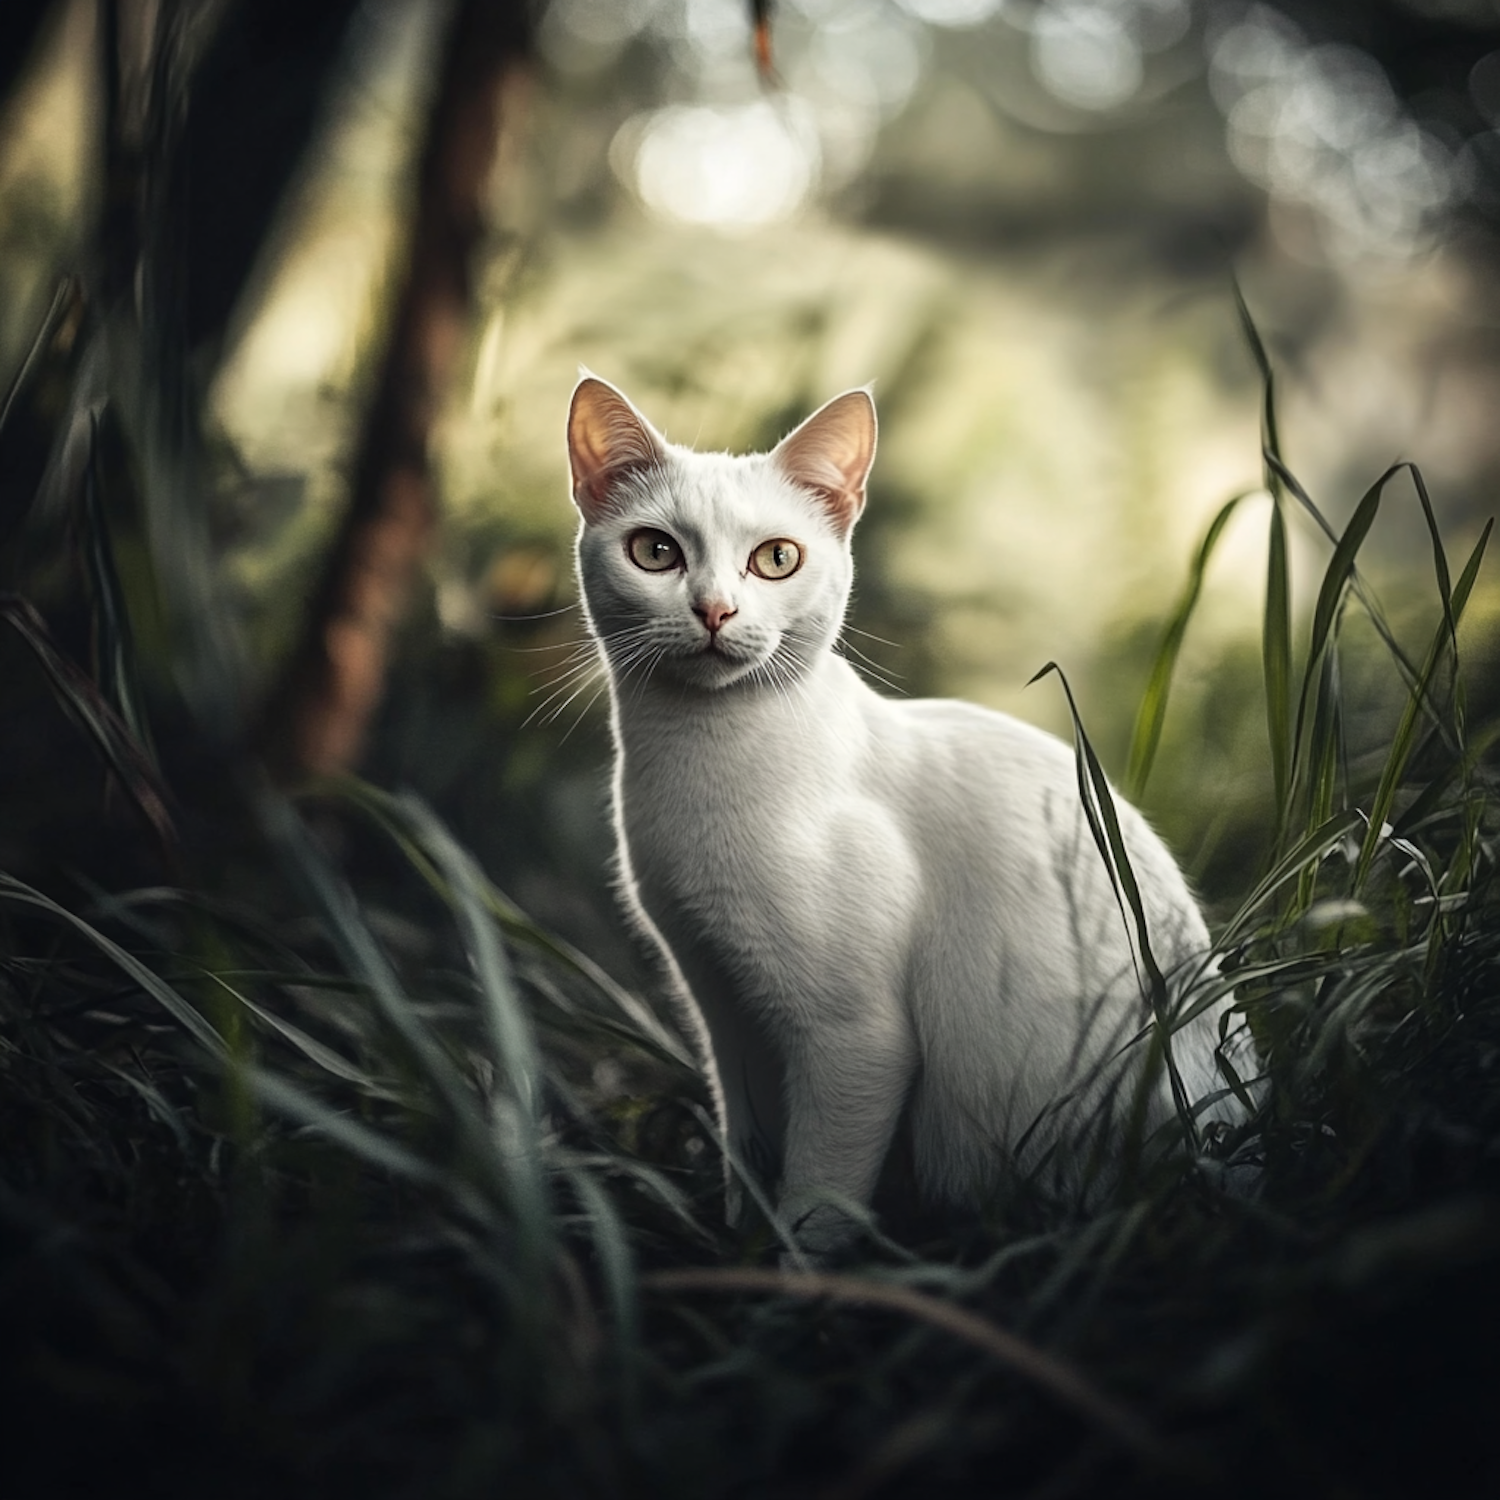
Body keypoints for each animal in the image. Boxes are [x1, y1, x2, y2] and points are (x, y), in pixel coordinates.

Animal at [567, 375, 1236, 1254]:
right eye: (656, 552)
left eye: (775, 558)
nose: (714, 610)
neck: (696, 764)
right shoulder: (724, 1008)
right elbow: (746, 1157)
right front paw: (734, 1253)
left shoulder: (855, 1040)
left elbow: (815, 1204)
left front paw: (785, 1282)